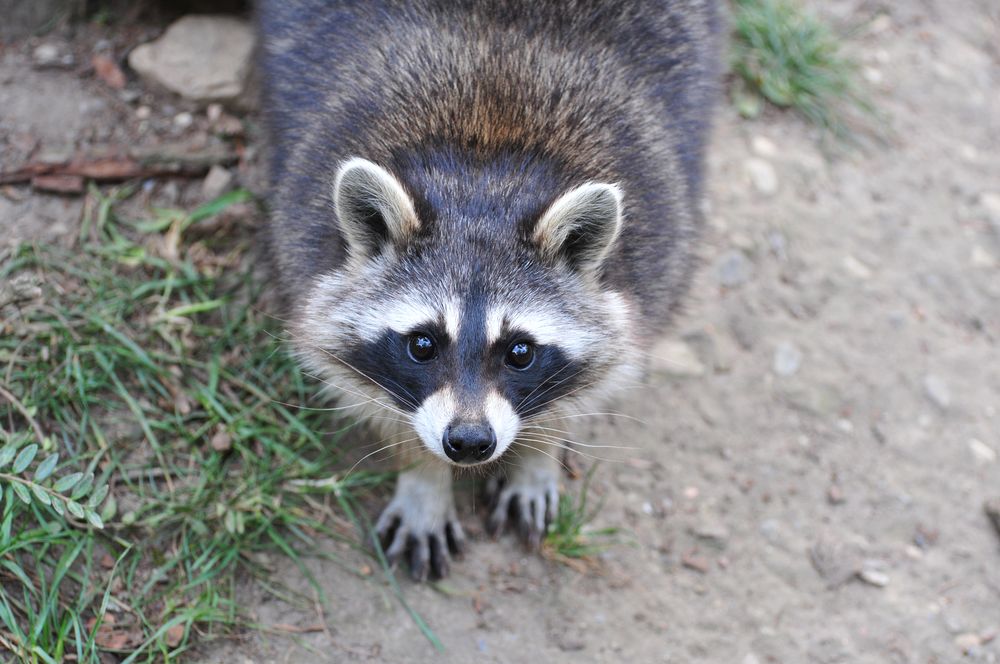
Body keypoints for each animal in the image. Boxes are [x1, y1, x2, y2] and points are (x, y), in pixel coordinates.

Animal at [260, 0, 720, 580]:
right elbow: (370, 392)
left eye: (520, 352)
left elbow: (600, 369)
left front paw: (539, 451)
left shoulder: (656, 252)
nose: (469, 443)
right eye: (422, 344)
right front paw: (423, 476)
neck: (487, 159)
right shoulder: (301, 230)